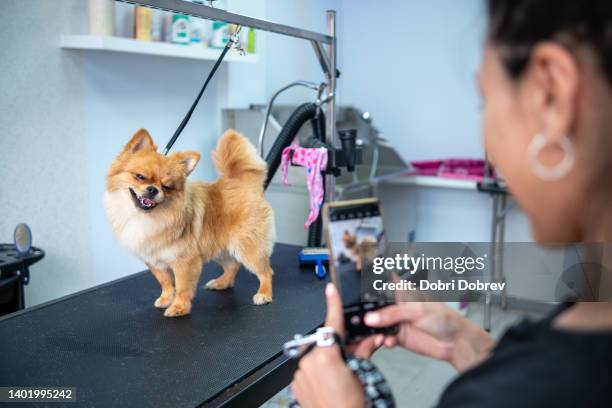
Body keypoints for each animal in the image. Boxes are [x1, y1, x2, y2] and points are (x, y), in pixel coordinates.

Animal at [104, 129, 274, 318]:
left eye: (167, 187)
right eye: (140, 177)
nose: (153, 189)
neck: (146, 218)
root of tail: (240, 182)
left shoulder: (185, 262)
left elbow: (182, 287)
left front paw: (179, 308)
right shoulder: (155, 261)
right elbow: (166, 282)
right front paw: (166, 299)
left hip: (247, 248)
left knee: (265, 271)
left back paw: (264, 294)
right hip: (220, 248)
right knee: (233, 265)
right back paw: (221, 283)